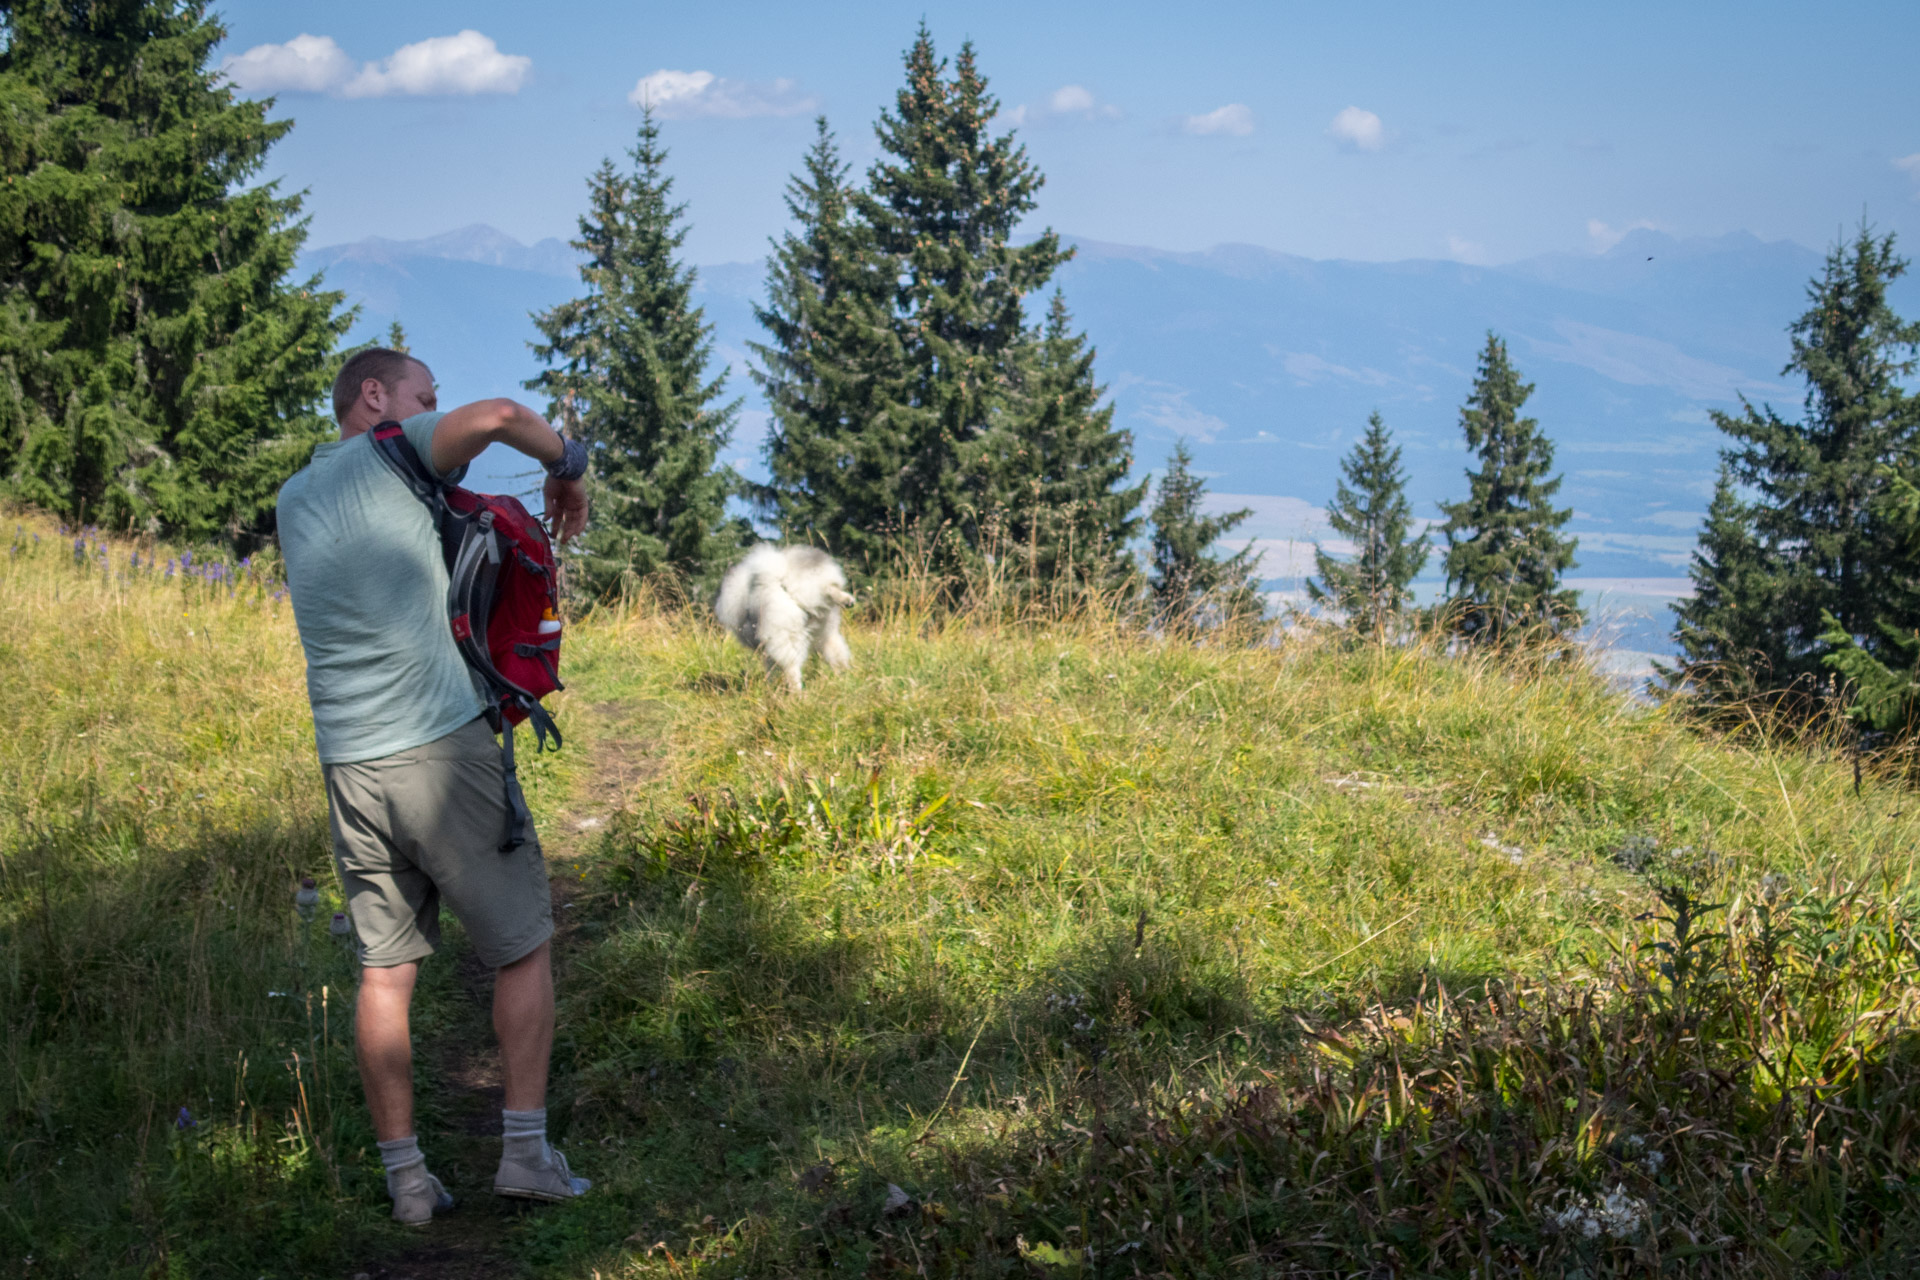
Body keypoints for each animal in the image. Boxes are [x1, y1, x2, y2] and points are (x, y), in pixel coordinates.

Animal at [714, 545, 856, 690]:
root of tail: (786, 582)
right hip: (824, 632)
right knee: (836, 654)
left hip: (787, 635)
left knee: (792, 669)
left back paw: (797, 691)